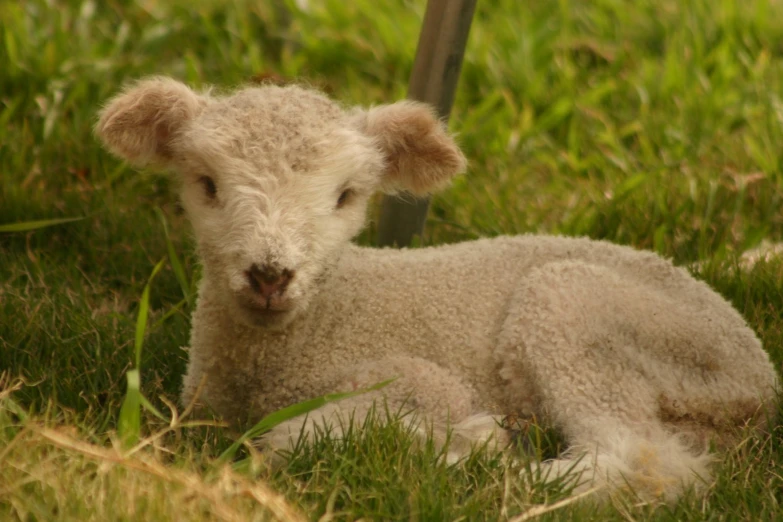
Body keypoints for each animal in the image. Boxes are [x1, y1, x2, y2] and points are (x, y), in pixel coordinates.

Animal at [96, 77, 776, 500]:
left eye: (346, 196)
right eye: (206, 184)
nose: (269, 275)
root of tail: (760, 383)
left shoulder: (415, 377)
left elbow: (290, 437)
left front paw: (457, 440)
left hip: (587, 316)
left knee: (647, 462)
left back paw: (484, 467)